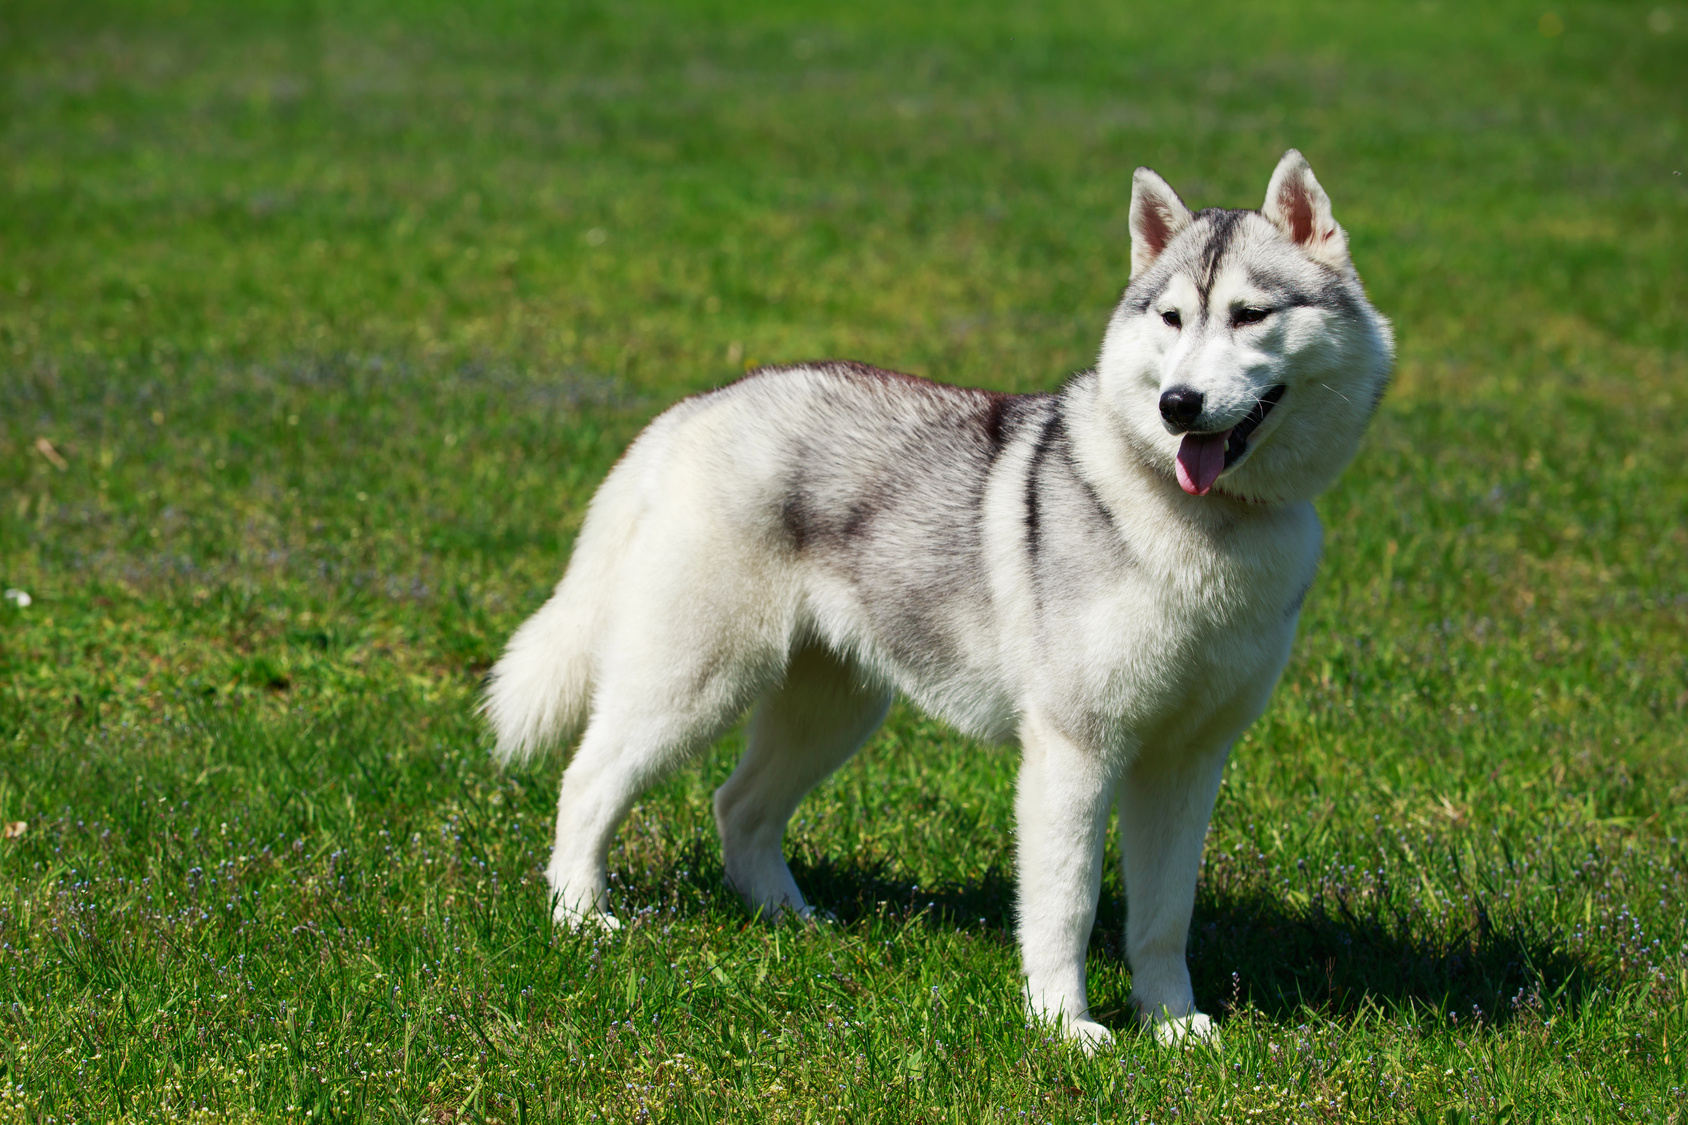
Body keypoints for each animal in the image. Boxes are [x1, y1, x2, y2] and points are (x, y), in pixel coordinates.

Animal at [482, 146, 1390, 1040]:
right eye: (1170, 319)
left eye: (1250, 315)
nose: (1178, 405)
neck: (1210, 526)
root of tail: (699, 407)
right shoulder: (1075, 749)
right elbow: (1066, 904)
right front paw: (1065, 1026)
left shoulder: (1188, 759)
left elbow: (1165, 915)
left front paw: (1171, 1023)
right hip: (694, 682)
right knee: (588, 779)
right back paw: (581, 915)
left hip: (834, 708)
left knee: (738, 805)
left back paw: (790, 918)